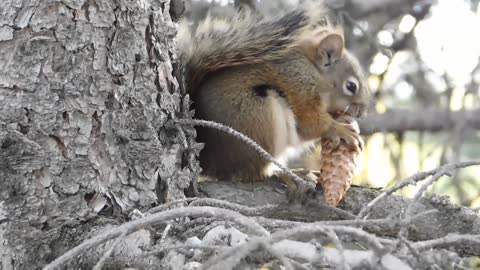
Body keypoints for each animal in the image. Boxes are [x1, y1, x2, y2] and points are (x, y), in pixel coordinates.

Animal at [178, 1, 370, 188]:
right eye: (351, 86)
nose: (362, 112)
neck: (312, 70)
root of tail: (211, 164)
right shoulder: (298, 86)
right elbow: (310, 124)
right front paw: (340, 129)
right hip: (261, 119)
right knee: (253, 174)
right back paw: (287, 174)